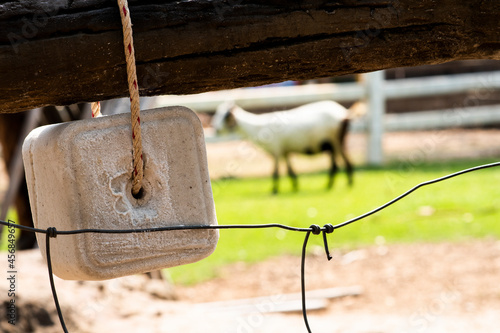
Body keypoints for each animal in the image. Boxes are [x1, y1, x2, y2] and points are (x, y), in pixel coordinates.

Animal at [213, 99, 366, 192]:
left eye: (226, 116)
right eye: (217, 113)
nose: (215, 129)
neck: (257, 128)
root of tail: (345, 113)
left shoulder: (276, 150)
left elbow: (275, 173)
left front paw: (274, 191)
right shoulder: (284, 152)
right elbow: (290, 171)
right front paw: (295, 186)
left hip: (336, 141)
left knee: (344, 163)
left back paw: (343, 184)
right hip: (332, 144)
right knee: (337, 165)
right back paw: (333, 184)